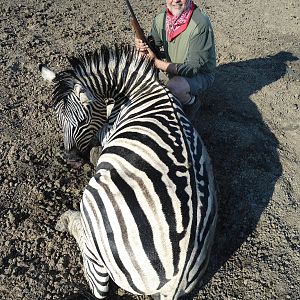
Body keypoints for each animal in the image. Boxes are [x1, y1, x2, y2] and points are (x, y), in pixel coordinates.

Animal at [39, 44, 218, 300]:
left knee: (97, 283)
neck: (140, 88)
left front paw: (95, 151)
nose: (71, 161)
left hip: (93, 204)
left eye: (83, 120)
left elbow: (101, 132)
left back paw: (68, 219)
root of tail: (175, 281)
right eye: (57, 118)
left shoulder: (108, 127)